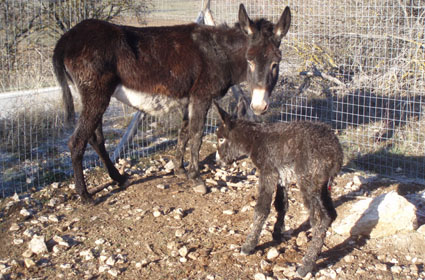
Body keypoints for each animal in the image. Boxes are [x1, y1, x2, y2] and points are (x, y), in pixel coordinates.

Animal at [214, 101, 342, 276]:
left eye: (221, 139)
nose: (217, 162)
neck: (255, 139)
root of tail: (336, 152)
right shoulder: (282, 175)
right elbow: (281, 205)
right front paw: (276, 233)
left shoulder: (268, 172)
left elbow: (261, 209)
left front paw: (249, 245)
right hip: (322, 187)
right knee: (331, 214)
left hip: (308, 182)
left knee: (321, 219)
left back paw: (306, 266)